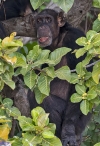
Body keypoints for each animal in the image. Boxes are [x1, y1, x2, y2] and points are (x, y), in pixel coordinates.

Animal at [27, 9, 91, 146]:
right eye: (39, 20)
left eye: (48, 19)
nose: (42, 26)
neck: (58, 38)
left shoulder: (74, 39)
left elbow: (80, 83)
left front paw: (68, 131)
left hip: (80, 123)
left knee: (42, 97)